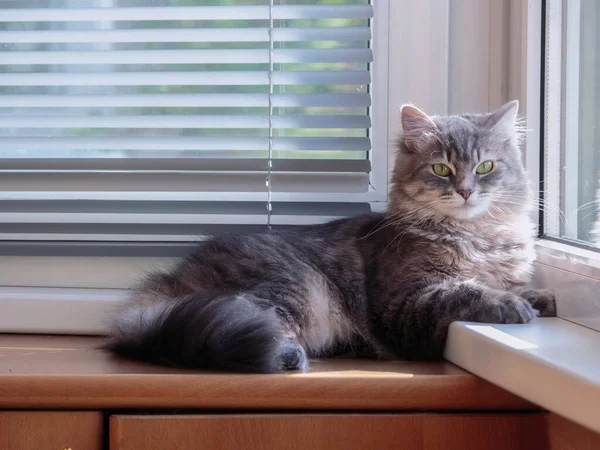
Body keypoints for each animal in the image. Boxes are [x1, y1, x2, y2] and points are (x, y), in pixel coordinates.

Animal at [105, 101, 556, 372]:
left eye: (485, 168)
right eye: (441, 169)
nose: (465, 191)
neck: (477, 237)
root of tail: (174, 279)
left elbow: (509, 284)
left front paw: (538, 297)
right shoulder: (405, 305)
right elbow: (465, 292)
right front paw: (512, 305)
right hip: (293, 290)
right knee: (259, 328)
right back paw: (289, 356)